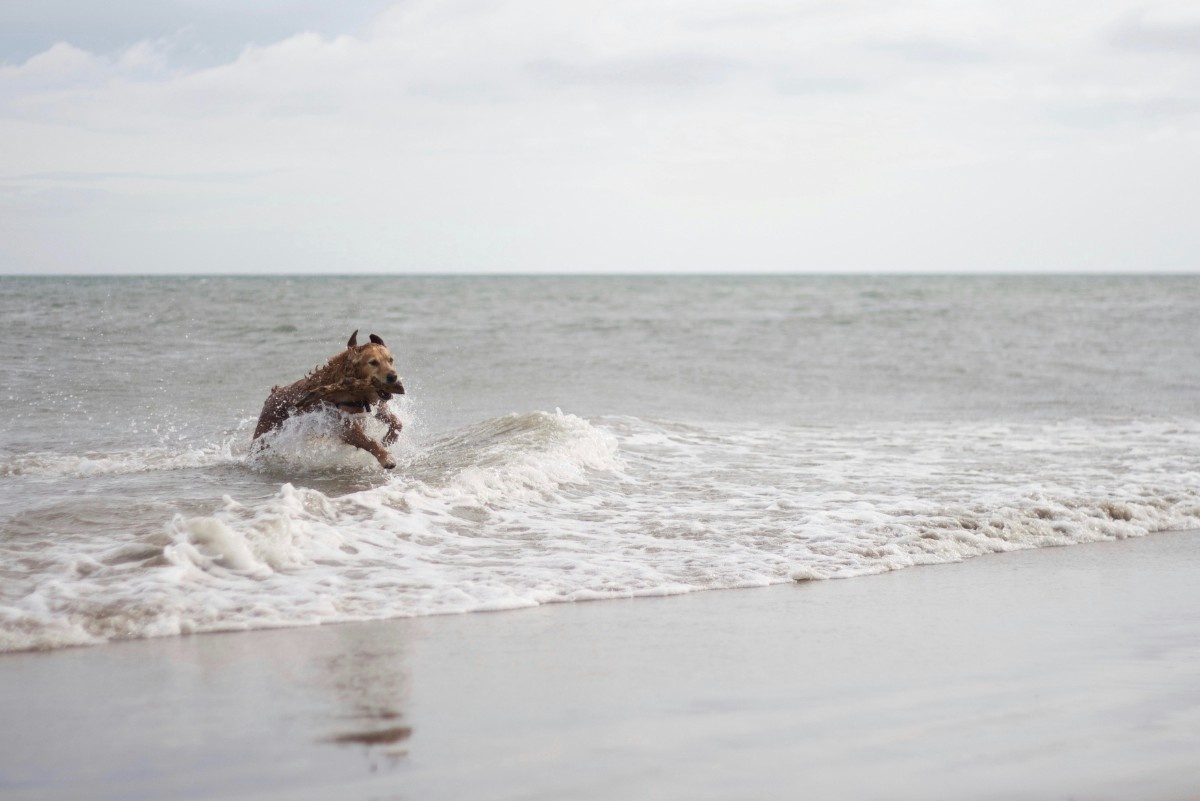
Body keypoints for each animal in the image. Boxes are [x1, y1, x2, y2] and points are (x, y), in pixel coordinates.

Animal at [250, 330, 405, 470]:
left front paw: (388, 440)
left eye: (390, 360)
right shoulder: (344, 428)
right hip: (265, 432)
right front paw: (386, 458)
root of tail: (274, 393)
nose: (393, 377)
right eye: (373, 362)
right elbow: (370, 441)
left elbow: (397, 423)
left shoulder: (376, 405)